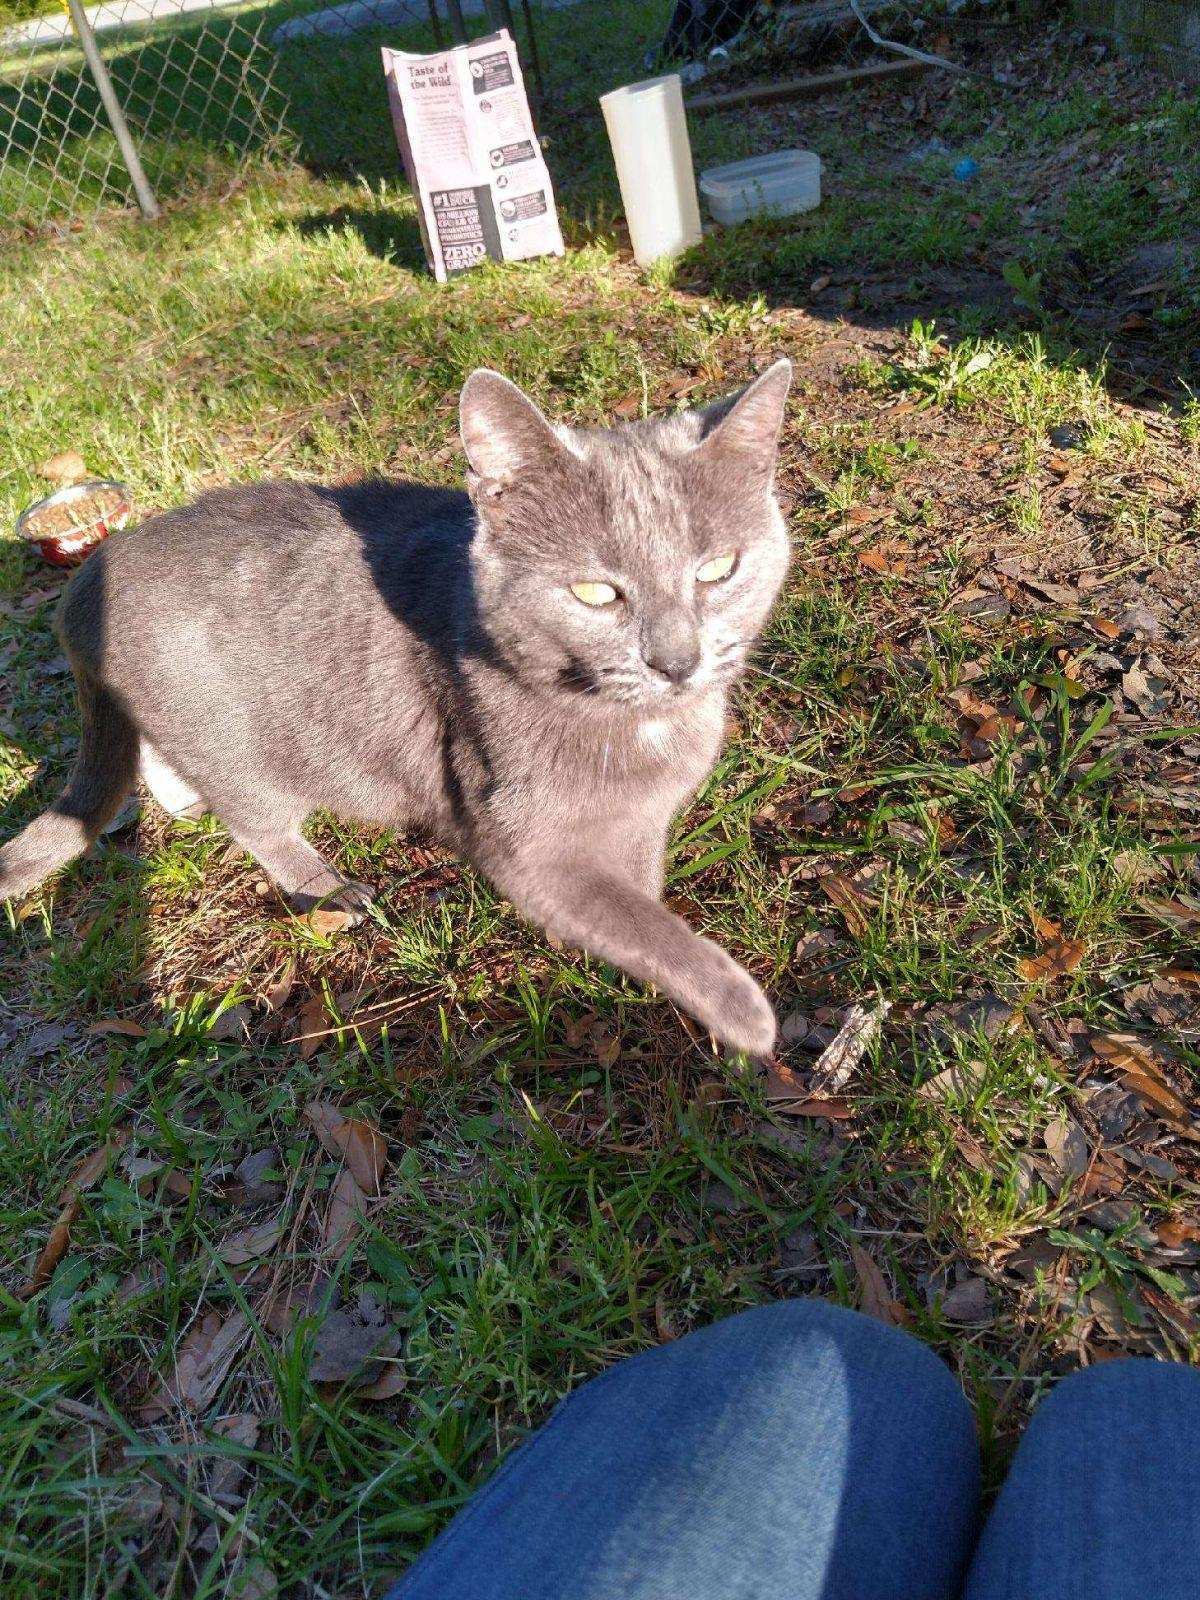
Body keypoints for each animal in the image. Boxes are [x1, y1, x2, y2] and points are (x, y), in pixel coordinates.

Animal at [4, 366, 793, 1056]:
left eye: (719, 569)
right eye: (596, 592)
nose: (677, 660)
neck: (638, 730)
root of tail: (90, 580)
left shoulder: (641, 818)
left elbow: (637, 885)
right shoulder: (524, 845)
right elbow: (633, 917)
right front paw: (741, 1013)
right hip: (231, 742)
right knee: (256, 820)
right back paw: (329, 887)